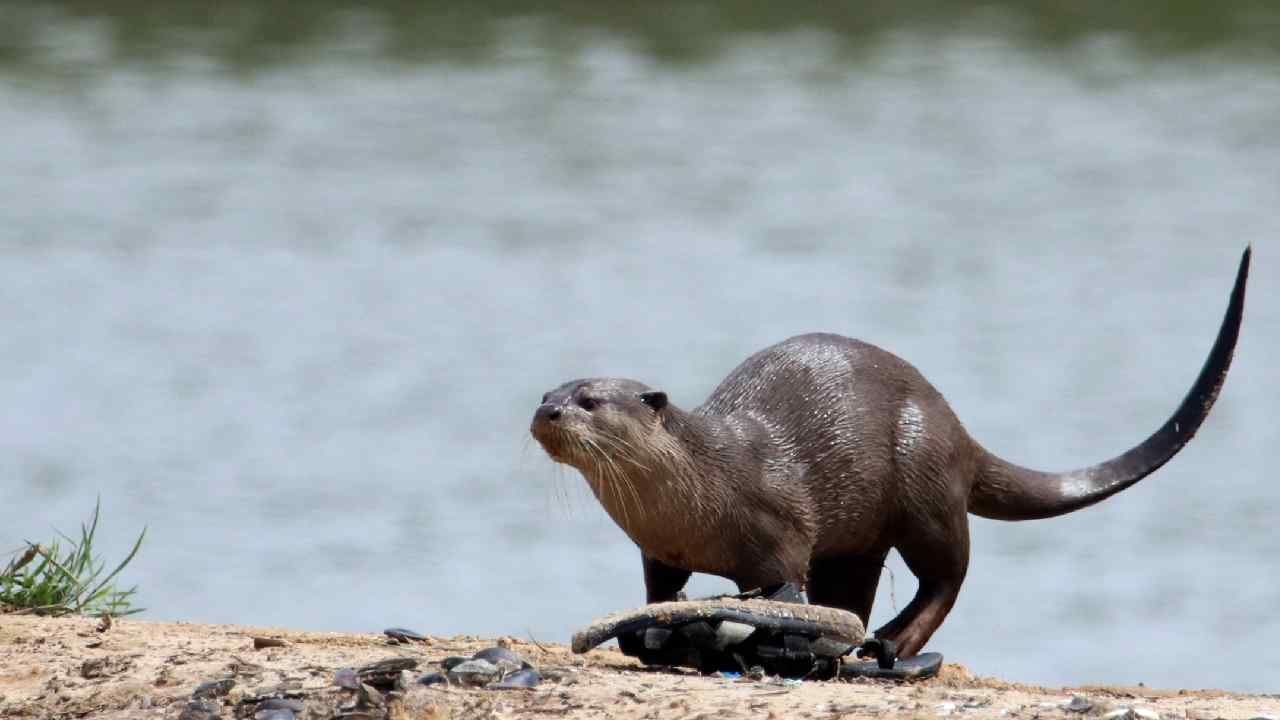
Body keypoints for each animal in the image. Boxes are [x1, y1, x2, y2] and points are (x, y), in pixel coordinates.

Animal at [529, 248, 1249, 655]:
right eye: (546, 391)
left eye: (590, 400)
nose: (548, 411)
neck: (703, 484)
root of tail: (956, 427)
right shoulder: (658, 549)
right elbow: (659, 590)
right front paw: (655, 626)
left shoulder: (779, 526)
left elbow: (783, 579)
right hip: (865, 535)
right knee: (861, 586)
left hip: (925, 486)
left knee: (948, 574)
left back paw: (895, 647)